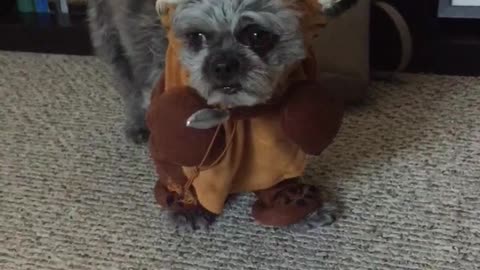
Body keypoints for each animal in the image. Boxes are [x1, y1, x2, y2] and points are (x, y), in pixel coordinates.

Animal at [87, 0, 356, 144]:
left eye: (257, 35)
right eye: (197, 37)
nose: (223, 65)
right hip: (112, 42)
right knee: (128, 85)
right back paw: (137, 123)